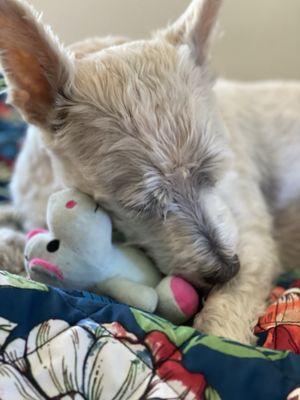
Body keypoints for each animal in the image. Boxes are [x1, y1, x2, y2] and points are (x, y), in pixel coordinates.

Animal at [0, 0, 300, 344]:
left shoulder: (251, 236)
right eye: (139, 206)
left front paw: (222, 335)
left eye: (214, 172)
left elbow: (229, 306)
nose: (226, 269)